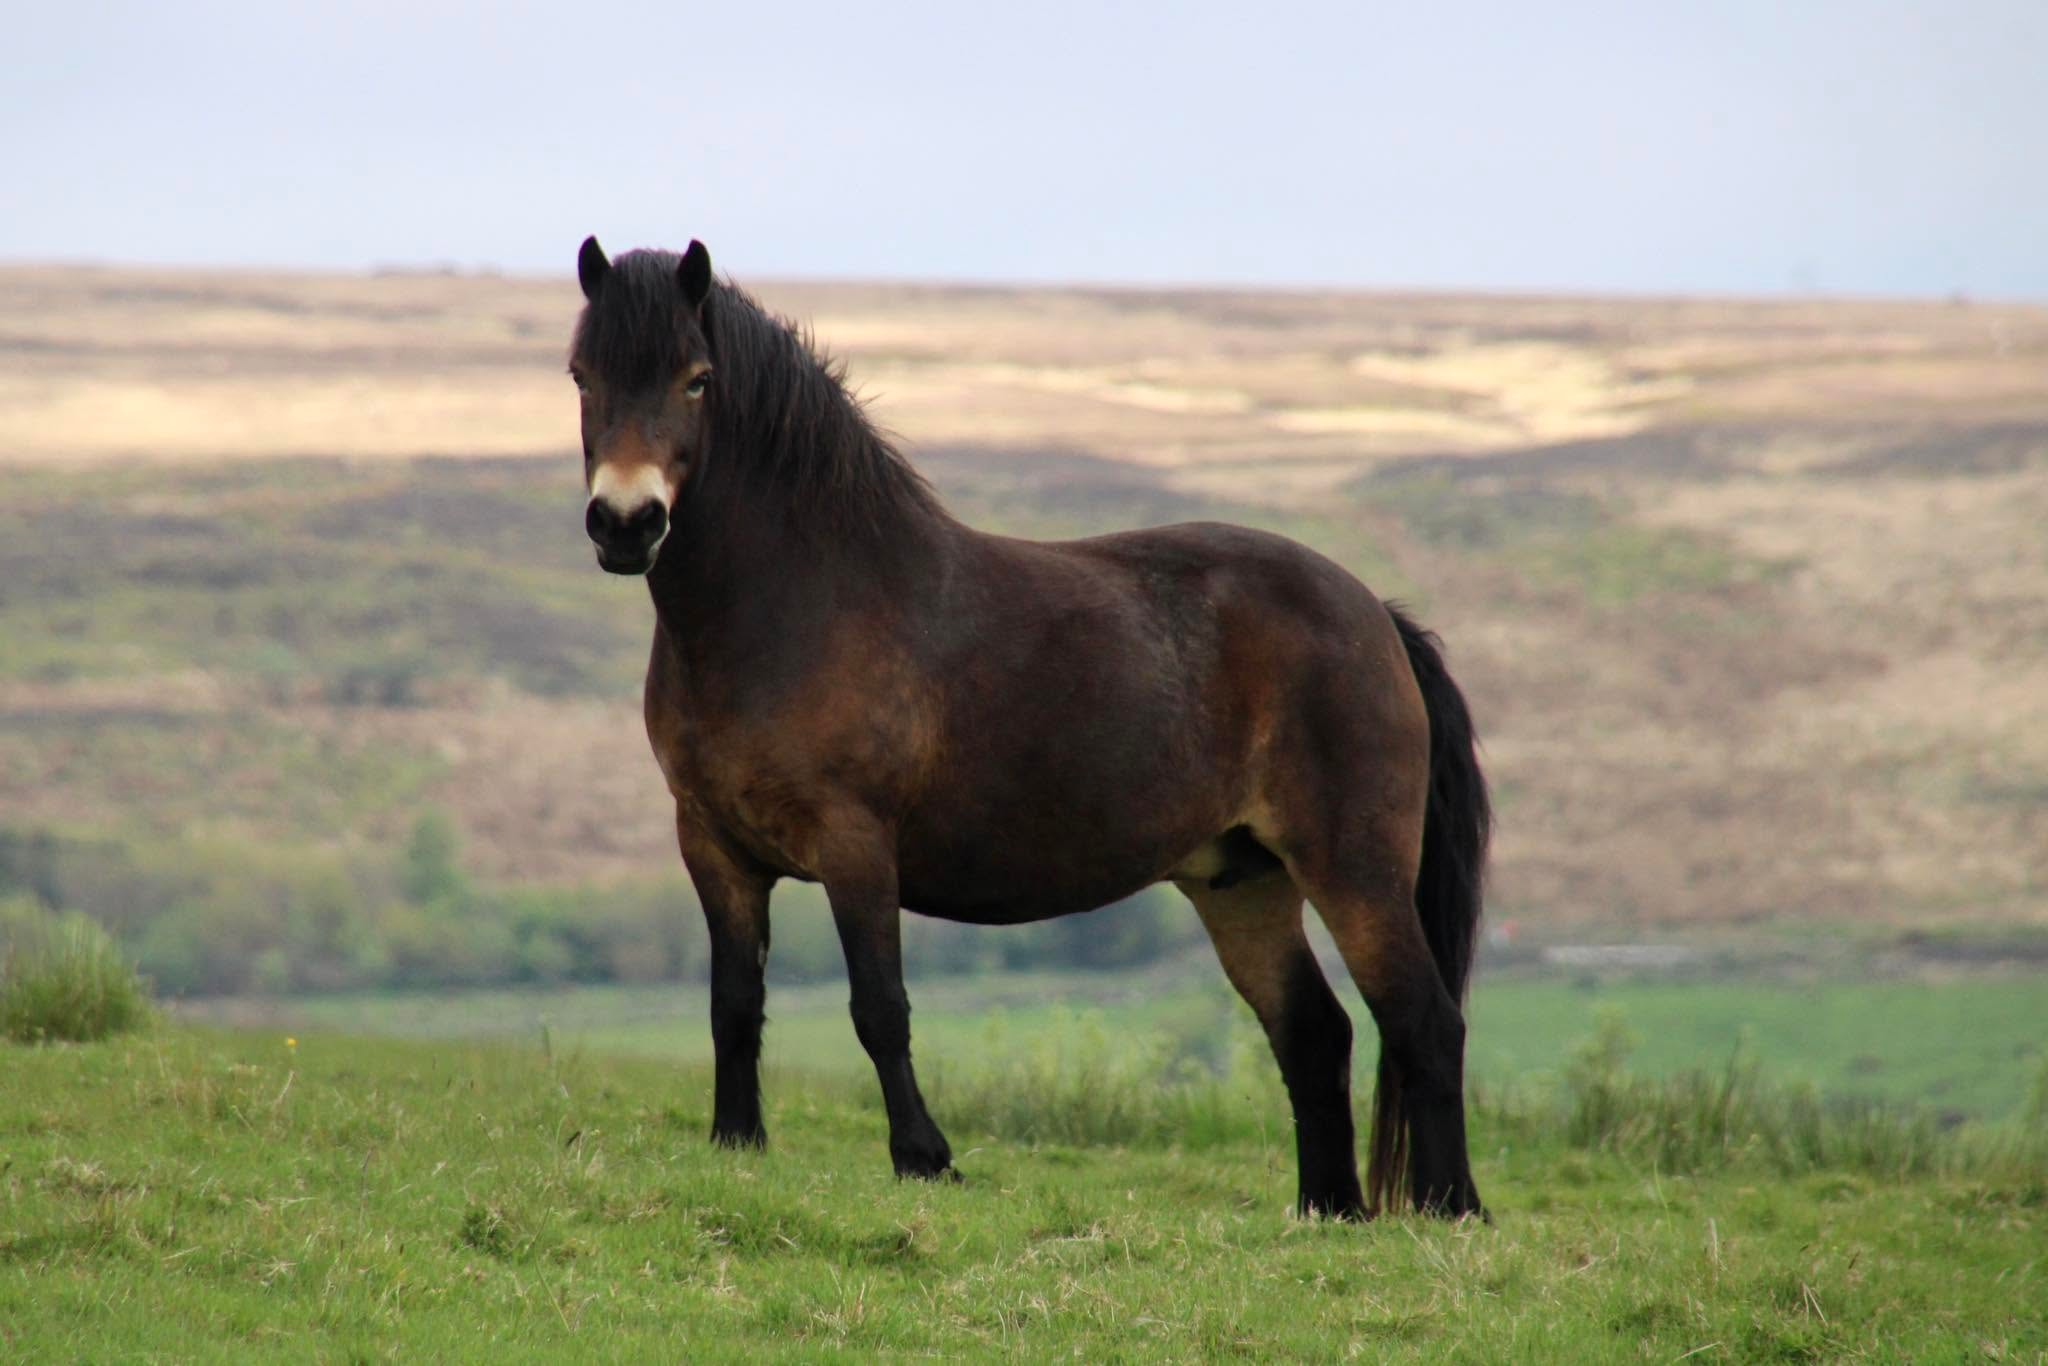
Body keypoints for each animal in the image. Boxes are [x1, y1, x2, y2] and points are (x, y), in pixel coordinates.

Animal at [568, 236, 1490, 1220]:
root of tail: (1374, 614)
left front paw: (925, 1158)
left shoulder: (855, 846)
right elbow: (734, 1002)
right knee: (1315, 1033)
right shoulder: (714, 847)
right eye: (583, 375)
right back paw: (1328, 1210)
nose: (626, 524)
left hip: (1354, 869)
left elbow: (879, 1008)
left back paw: (1452, 1206)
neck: (799, 605)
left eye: (697, 379)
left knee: (1424, 1020)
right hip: (1242, 881)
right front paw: (737, 1143)